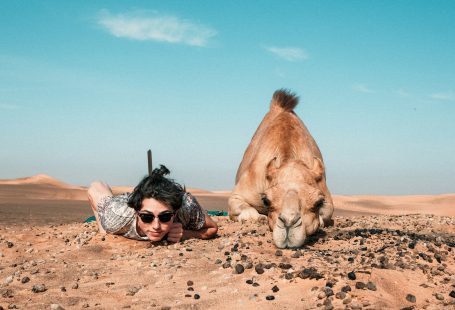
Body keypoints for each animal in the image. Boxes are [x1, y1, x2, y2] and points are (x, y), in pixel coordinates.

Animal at [230, 89, 334, 247]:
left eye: (318, 202)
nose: (289, 224)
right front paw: (256, 217)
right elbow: (246, 211)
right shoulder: (241, 192)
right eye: (266, 200)